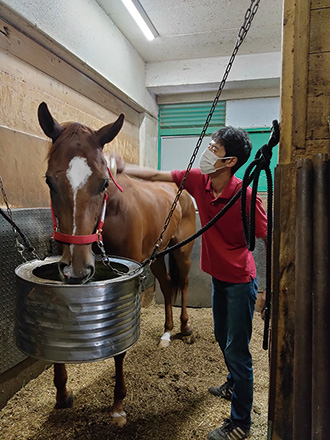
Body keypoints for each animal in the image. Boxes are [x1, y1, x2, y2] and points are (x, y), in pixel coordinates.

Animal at [37, 101, 196, 424]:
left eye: (103, 182)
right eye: (50, 180)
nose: (78, 268)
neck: (110, 215)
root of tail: (181, 191)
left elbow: (120, 350)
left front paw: (119, 404)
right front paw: (62, 393)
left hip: (181, 251)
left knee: (183, 284)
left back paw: (185, 328)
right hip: (157, 255)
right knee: (167, 286)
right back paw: (166, 333)